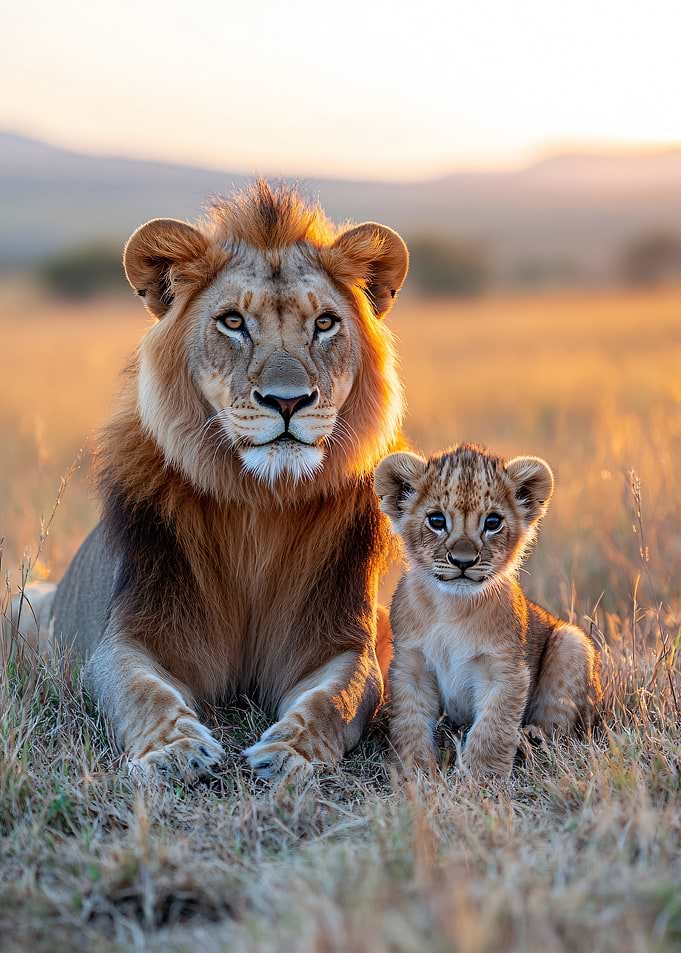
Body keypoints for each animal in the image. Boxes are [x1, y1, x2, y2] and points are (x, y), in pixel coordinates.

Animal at [15, 182, 408, 785]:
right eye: (232, 322)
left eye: (324, 324)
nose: (288, 401)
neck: (258, 504)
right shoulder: (127, 636)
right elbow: (141, 691)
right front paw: (176, 750)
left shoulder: (341, 643)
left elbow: (335, 700)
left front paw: (289, 752)